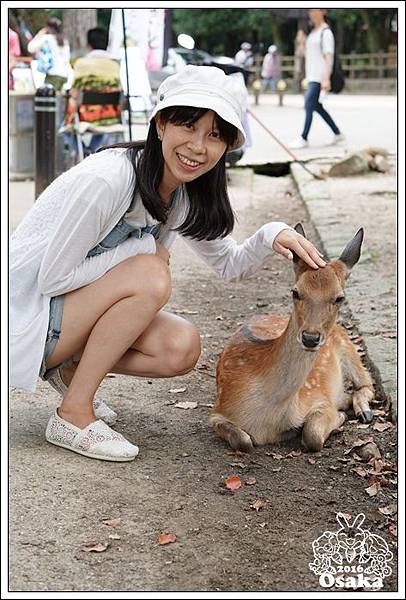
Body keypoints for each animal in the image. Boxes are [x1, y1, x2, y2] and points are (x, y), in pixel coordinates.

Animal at [213, 224, 374, 450]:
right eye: (295, 292)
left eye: (340, 298)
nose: (310, 337)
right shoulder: (219, 410)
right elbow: (243, 441)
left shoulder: (319, 398)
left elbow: (312, 434)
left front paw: (340, 415)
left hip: (347, 345)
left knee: (367, 383)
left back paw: (363, 410)